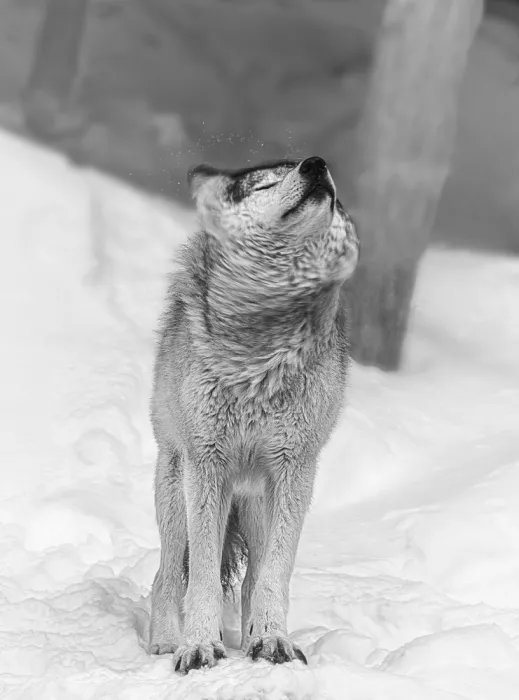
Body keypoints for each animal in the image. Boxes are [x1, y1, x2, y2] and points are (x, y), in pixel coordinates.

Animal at [149, 156, 359, 674]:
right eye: (265, 183)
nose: (317, 164)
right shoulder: (207, 465)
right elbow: (203, 577)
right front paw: (199, 647)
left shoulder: (295, 468)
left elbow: (272, 576)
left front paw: (272, 641)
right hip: (176, 491)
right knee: (166, 575)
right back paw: (164, 642)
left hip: (260, 500)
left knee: (251, 578)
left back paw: (253, 640)